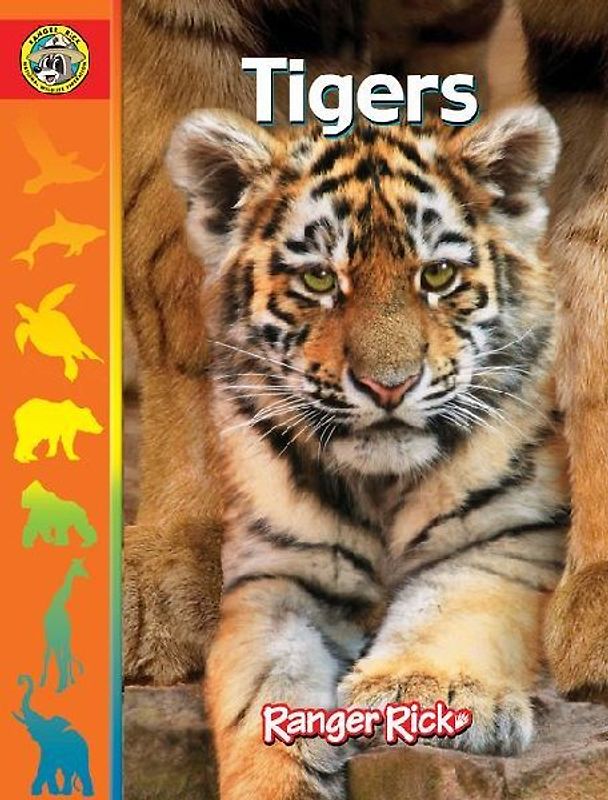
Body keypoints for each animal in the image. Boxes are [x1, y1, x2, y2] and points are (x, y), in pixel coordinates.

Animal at [166, 105, 568, 799]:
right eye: (319, 279)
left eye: (437, 275)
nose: (389, 386)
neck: (381, 485)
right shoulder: (275, 576)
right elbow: (264, 684)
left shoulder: (508, 537)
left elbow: (453, 606)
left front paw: (421, 690)